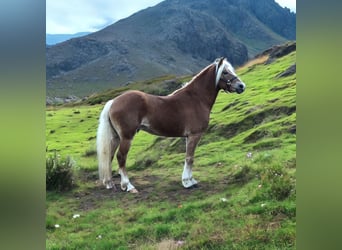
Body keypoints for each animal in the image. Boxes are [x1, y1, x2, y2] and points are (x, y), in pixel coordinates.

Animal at [96, 57, 246, 193]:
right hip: (126, 137)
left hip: (116, 137)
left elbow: (189, 158)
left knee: (109, 156)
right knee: (121, 157)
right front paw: (188, 182)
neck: (196, 99)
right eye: (225, 72)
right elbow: (190, 158)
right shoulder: (194, 135)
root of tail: (114, 101)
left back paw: (109, 183)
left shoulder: (188, 137)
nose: (241, 86)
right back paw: (128, 186)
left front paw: (190, 180)